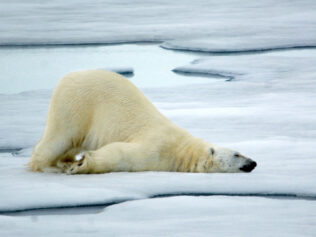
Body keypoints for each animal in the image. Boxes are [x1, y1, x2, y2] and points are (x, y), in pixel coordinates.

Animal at [29, 69, 256, 174]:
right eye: (237, 154)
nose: (253, 163)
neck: (182, 150)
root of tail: (69, 76)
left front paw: (77, 164)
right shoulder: (157, 146)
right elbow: (121, 154)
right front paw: (82, 165)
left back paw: (65, 161)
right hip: (77, 105)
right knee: (60, 137)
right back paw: (49, 166)